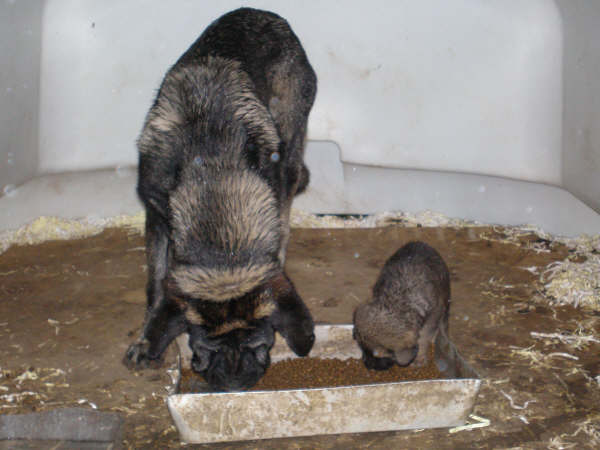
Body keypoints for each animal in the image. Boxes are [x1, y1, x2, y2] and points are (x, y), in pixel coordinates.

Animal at [354, 241, 448, 370]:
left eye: (377, 355)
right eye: (362, 349)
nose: (368, 365)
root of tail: (419, 242)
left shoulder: (434, 315)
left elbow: (424, 338)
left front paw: (419, 358)